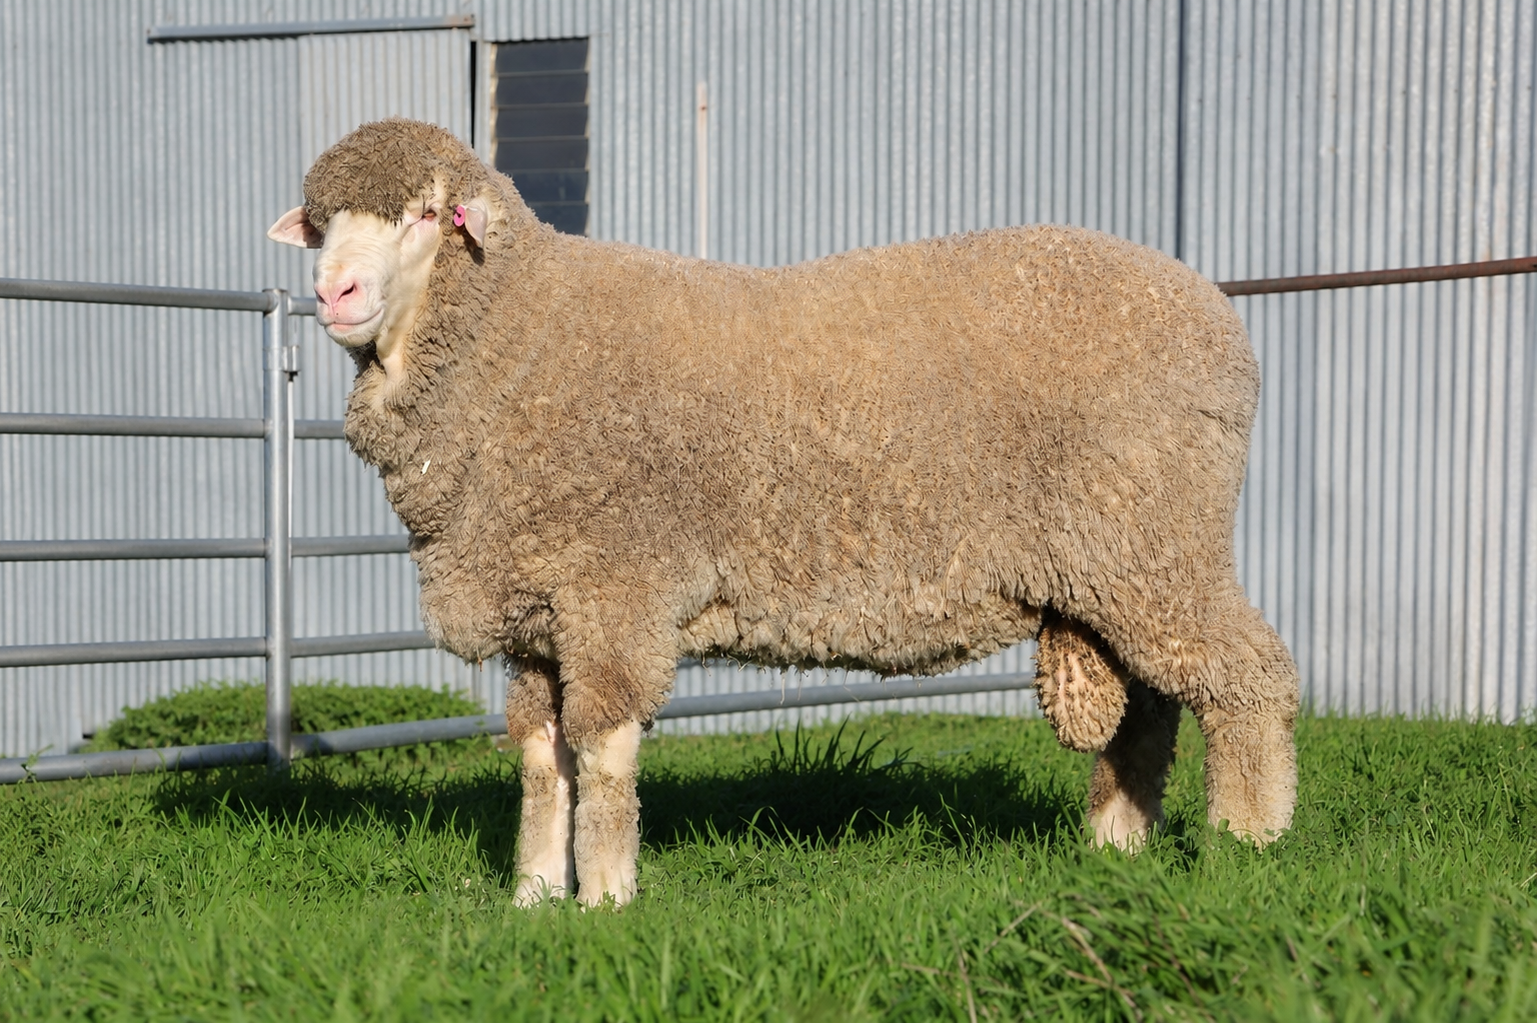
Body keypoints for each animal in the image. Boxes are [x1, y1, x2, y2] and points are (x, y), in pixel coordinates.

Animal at [269, 118, 1300, 907]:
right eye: (321, 226)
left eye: (424, 216)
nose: (333, 292)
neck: (514, 341)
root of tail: (1217, 315)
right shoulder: (539, 605)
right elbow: (538, 756)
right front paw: (529, 898)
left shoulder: (615, 586)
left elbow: (601, 749)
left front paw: (604, 898)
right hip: (1116, 567)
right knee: (1151, 712)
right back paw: (1117, 845)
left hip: (1153, 539)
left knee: (1247, 681)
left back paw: (1244, 846)